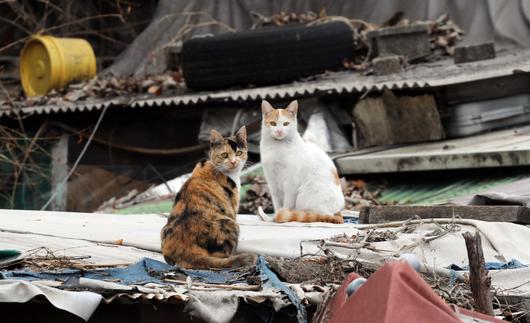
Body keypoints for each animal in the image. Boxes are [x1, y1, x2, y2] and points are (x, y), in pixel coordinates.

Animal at [162, 128, 256, 270]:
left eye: (239, 153)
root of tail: (186, 250)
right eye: (224, 155)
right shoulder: (233, 208)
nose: (233, 162)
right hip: (229, 223)